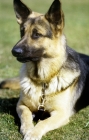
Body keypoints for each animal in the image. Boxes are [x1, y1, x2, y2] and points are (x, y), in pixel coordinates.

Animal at [0, 0, 89, 139]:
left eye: (37, 34)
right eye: (22, 32)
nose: (14, 51)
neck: (43, 80)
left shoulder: (61, 113)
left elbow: (43, 122)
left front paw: (33, 133)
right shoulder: (21, 105)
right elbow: (26, 115)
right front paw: (28, 128)